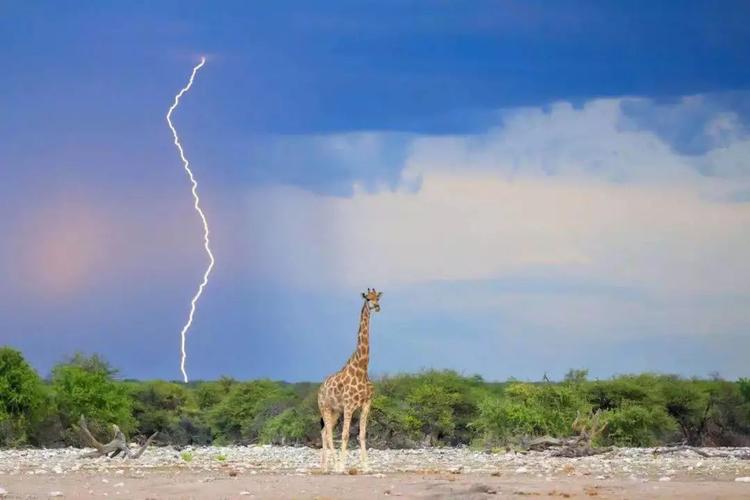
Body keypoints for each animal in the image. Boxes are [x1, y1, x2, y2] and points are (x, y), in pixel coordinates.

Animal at [320, 288, 384, 470]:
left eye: (378, 298)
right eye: (368, 298)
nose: (377, 307)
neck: (362, 368)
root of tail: (320, 388)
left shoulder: (366, 404)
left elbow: (361, 435)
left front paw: (366, 466)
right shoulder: (349, 405)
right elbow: (345, 435)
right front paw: (342, 466)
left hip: (335, 411)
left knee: (324, 432)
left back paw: (325, 466)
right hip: (325, 407)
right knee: (327, 433)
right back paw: (334, 465)